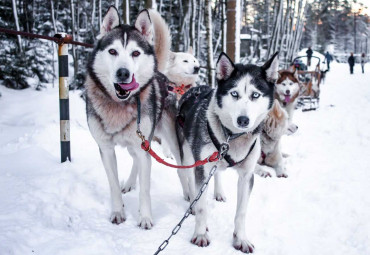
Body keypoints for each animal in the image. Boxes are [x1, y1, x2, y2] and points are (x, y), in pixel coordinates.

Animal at [85, 6, 181, 228]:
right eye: (112, 51)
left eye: (135, 53)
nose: (123, 73)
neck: (119, 107)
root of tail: (160, 75)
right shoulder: (106, 149)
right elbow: (113, 184)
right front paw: (118, 212)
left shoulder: (143, 147)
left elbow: (145, 189)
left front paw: (145, 218)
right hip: (135, 144)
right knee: (136, 161)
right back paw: (129, 183)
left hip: (168, 140)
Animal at [176, 51, 278, 251]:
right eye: (234, 93)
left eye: (255, 95)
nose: (243, 120)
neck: (232, 137)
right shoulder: (202, 168)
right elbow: (202, 206)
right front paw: (200, 233)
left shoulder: (246, 176)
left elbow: (241, 212)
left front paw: (240, 239)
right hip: (189, 158)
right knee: (190, 182)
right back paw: (192, 205)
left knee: (218, 173)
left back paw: (219, 192)